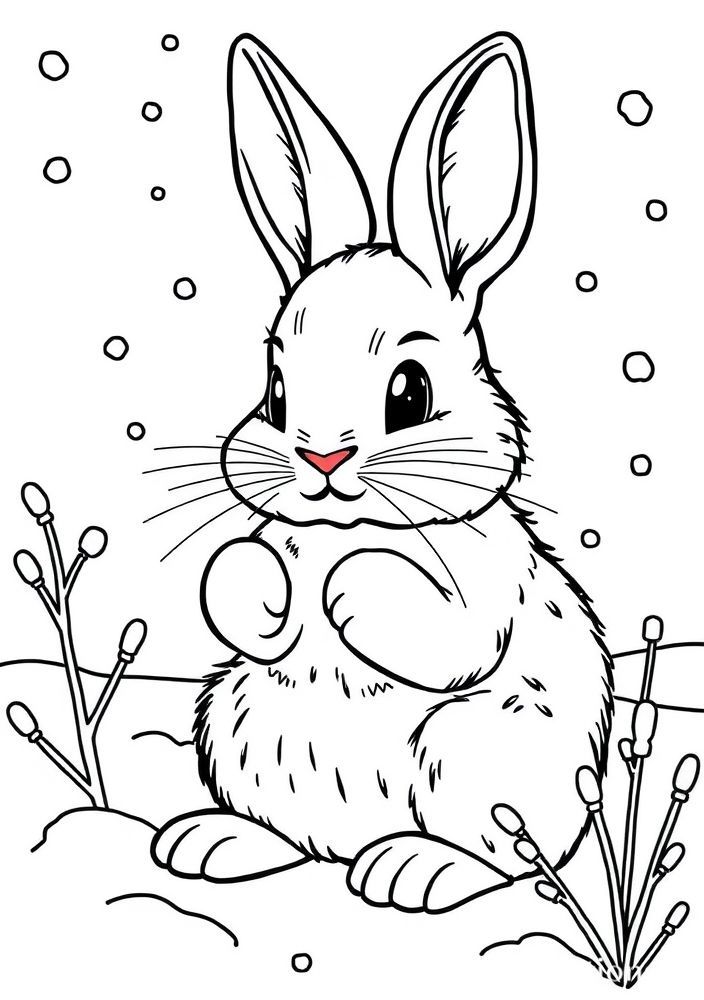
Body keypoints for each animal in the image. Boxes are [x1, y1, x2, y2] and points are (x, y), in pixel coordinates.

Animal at [151, 31, 613, 914]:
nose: (321, 458)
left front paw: (345, 595)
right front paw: (258, 590)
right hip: (234, 721)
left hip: (469, 753)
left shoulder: (480, 583)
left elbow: (446, 628)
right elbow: (238, 586)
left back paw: (413, 869)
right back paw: (212, 843)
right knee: (292, 836)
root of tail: (350, 844)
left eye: (410, 390)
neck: (347, 528)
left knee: (512, 859)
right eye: (277, 390)